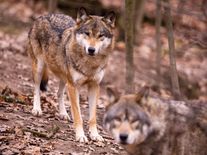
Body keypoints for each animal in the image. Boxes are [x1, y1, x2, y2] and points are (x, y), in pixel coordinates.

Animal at [26, 7, 115, 142]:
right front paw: (81, 136)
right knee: (36, 88)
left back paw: (63, 114)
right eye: (87, 33)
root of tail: (43, 16)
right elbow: (78, 115)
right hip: (40, 68)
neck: (90, 64)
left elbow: (92, 117)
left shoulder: (94, 86)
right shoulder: (73, 86)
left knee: (59, 93)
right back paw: (36, 109)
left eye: (101, 35)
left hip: (64, 77)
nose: (91, 50)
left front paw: (95, 135)